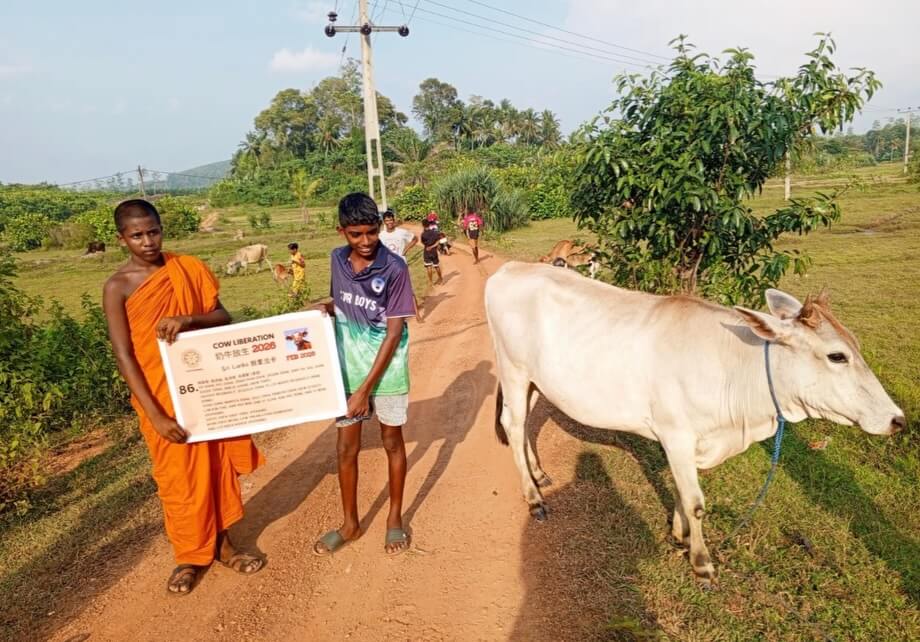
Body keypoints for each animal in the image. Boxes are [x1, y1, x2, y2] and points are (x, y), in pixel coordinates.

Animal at [484, 262, 904, 586]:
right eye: (837, 356)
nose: (897, 419)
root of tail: (508, 269)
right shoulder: (676, 434)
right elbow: (696, 502)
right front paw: (701, 563)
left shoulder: (687, 442)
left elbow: (681, 491)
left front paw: (679, 534)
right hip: (513, 369)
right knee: (513, 424)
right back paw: (534, 498)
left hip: (536, 380)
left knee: (524, 424)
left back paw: (539, 474)